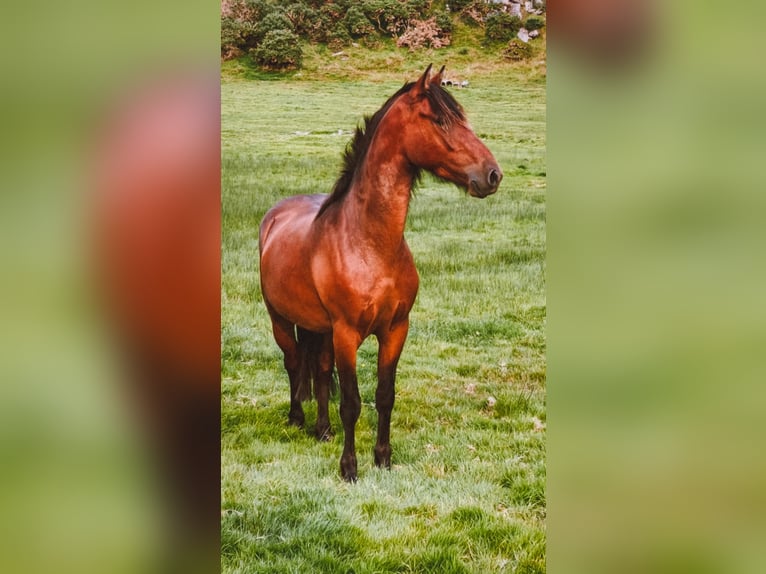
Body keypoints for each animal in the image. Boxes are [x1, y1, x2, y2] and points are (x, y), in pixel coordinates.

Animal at [258, 64, 502, 482]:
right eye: (439, 120)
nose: (492, 175)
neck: (369, 244)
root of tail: (275, 215)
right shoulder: (346, 334)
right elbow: (352, 403)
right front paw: (349, 468)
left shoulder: (395, 330)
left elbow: (384, 396)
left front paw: (383, 458)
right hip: (282, 319)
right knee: (293, 364)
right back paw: (297, 419)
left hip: (319, 329)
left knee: (319, 372)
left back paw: (322, 430)